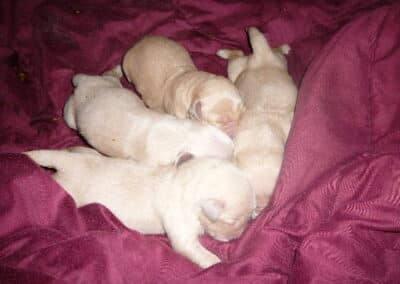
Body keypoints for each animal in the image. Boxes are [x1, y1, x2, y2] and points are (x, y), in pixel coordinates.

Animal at [25, 146, 256, 268]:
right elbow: (197, 251)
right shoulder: (182, 230)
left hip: (83, 156)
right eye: (233, 221)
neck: (184, 180)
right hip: (69, 190)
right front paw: (218, 264)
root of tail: (67, 165)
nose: (238, 236)